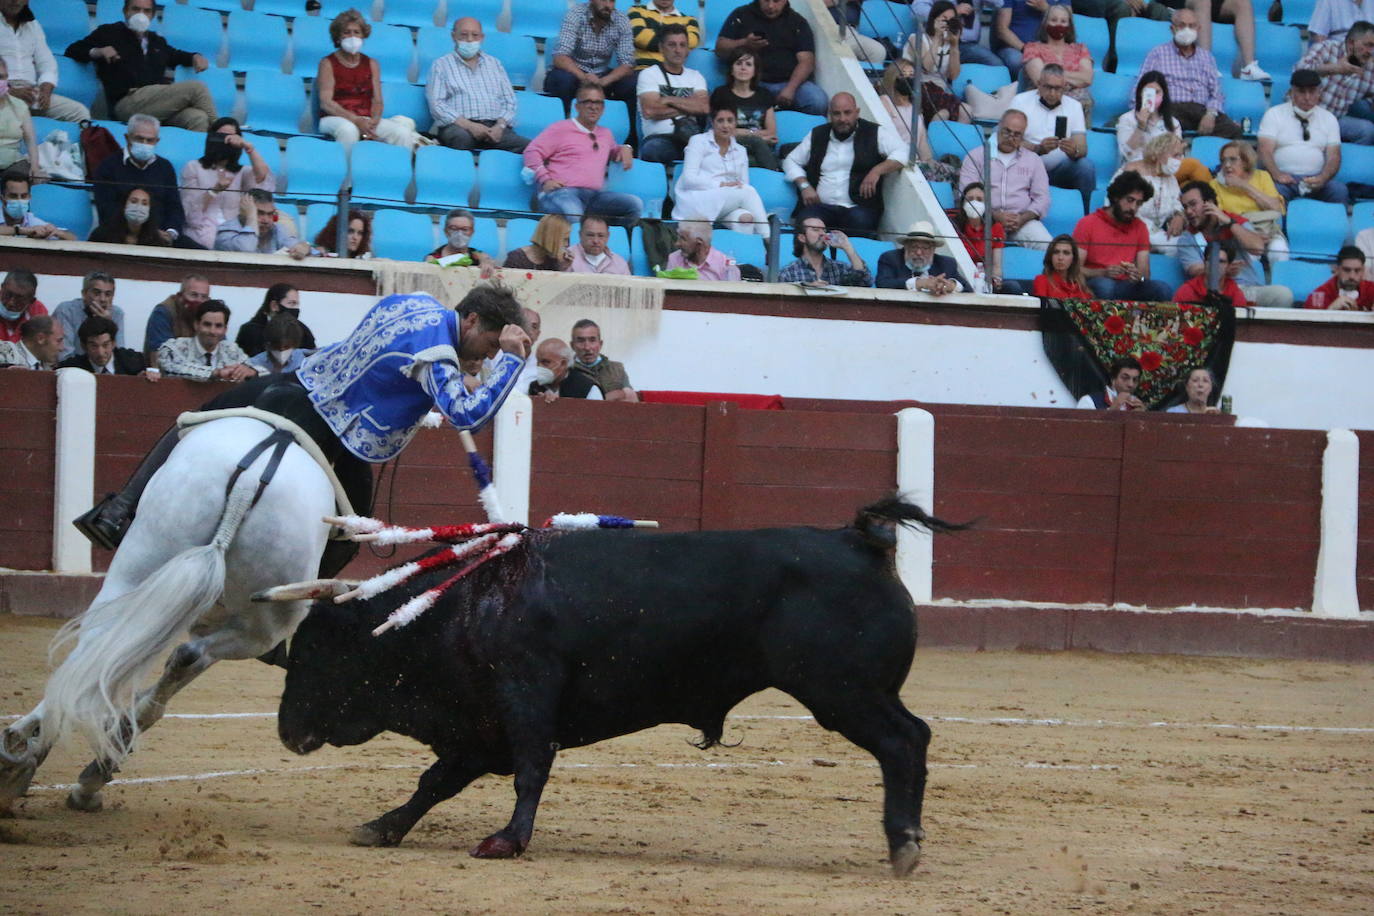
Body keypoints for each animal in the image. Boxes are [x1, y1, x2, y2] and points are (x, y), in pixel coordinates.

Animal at [0, 420, 336, 813]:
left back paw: (24, 754)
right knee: (163, 657)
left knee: (102, 652)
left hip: (144, 566)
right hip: (251, 623)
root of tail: (250, 481)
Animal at [276, 494, 967, 873]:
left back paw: (904, 845)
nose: (285, 732)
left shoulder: (525, 700)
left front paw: (507, 841)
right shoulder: (479, 725)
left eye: (312, 654)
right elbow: (434, 782)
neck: (464, 606)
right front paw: (381, 827)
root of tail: (859, 539)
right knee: (909, 741)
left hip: (843, 692)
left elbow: (531, 769)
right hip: (850, 692)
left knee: (906, 741)